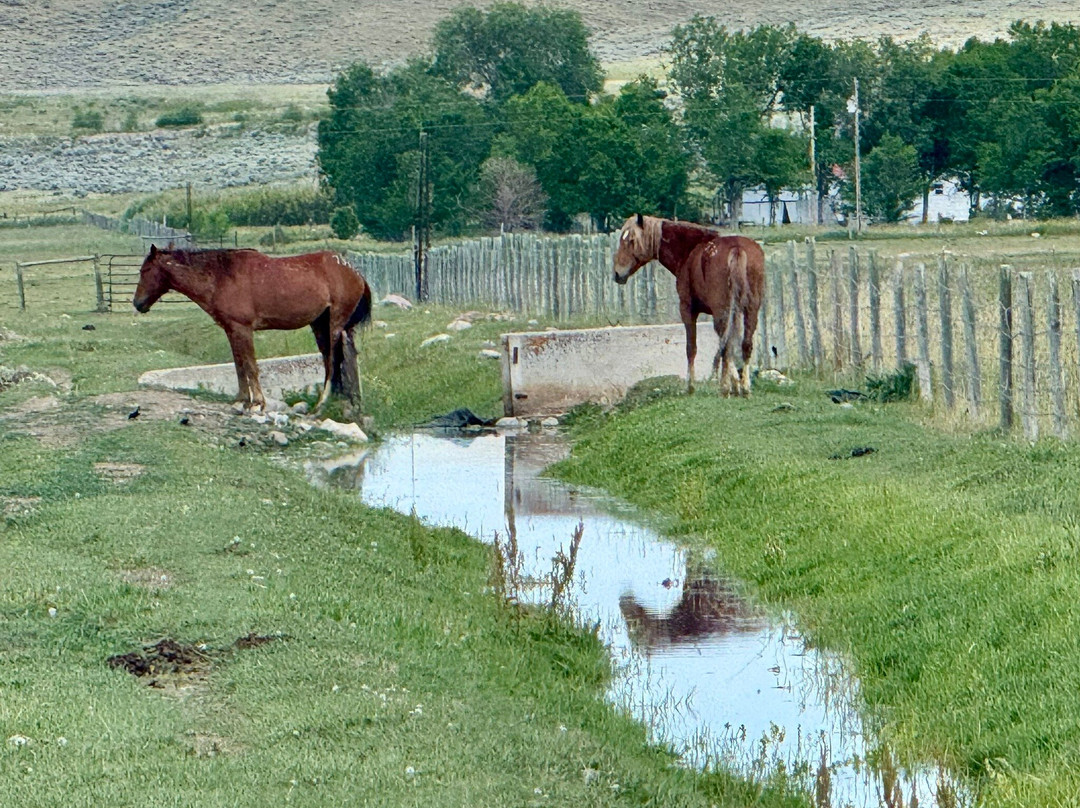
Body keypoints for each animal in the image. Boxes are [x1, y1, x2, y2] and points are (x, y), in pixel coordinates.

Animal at [133, 246, 372, 412]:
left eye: (145, 270)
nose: (137, 304)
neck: (221, 277)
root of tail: (356, 272)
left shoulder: (243, 330)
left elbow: (250, 366)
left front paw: (257, 402)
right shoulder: (231, 331)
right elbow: (239, 365)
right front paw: (241, 400)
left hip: (335, 324)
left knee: (333, 359)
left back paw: (323, 402)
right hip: (321, 324)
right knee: (333, 359)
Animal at [613, 214, 765, 396]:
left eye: (631, 240)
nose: (617, 273)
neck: (690, 251)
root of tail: (737, 249)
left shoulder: (687, 309)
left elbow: (691, 348)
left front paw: (691, 386)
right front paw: (737, 383)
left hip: (722, 312)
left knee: (726, 346)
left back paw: (725, 387)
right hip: (751, 309)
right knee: (744, 344)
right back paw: (745, 387)